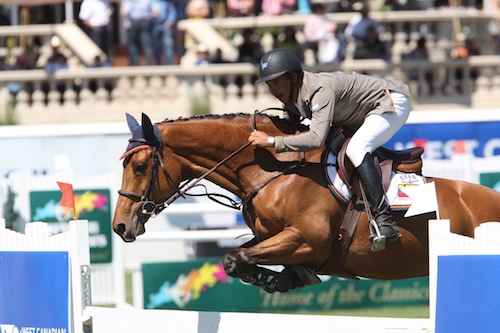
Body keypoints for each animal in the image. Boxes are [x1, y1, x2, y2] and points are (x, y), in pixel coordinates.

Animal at [111, 112, 500, 294]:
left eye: (140, 167)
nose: (120, 226)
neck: (273, 169)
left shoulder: (308, 239)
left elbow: (235, 258)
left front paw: (276, 279)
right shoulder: (273, 237)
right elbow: (236, 257)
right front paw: (284, 279)